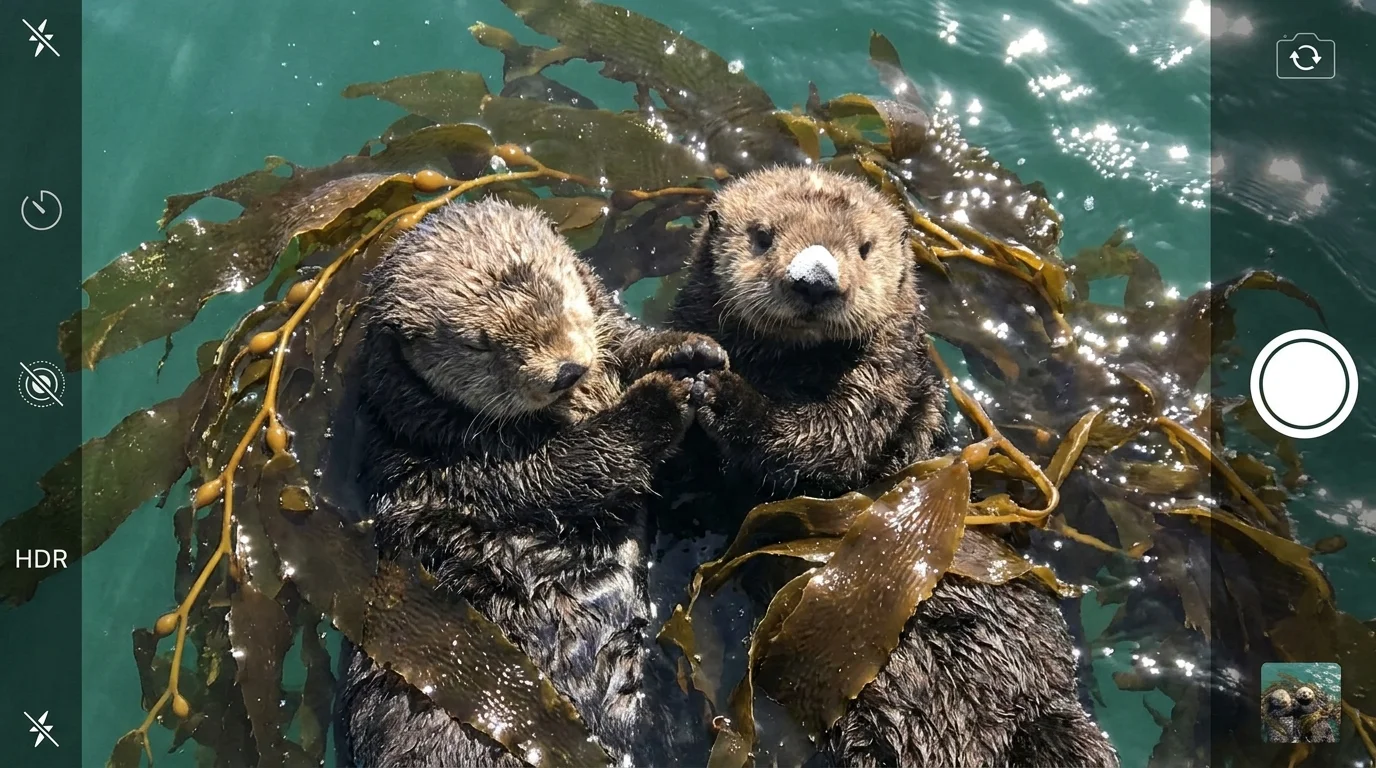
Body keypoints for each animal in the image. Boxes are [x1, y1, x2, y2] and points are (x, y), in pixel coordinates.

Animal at [335, 198, 724, 767]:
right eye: (477, 344)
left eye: (558, 291)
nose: (565, 369)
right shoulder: (474, 467)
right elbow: (567, 470)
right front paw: (660, 398)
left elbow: (626, 341)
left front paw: (688, 350)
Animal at [668, 166, 1119, 767]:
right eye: (762, 236)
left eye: (864, 248)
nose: (815, 281)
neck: (791, 369)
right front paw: (683, 355)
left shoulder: (884, 382)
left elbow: (832, 438)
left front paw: (726, 395)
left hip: (1054, 717)